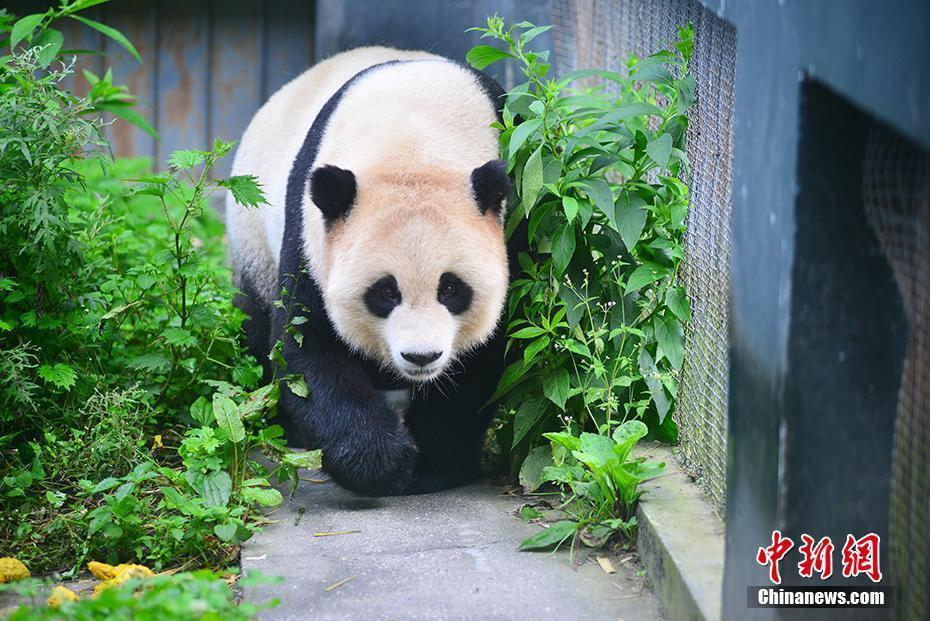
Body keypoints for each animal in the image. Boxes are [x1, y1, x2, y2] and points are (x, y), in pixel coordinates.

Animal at [222, 47, 520, 494]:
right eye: (385, 292)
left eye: (451, 289)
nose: (421, 356)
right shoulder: (312, 234)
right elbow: (307, 347)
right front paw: (380, 461)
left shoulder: (516, 220)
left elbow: (484, 356)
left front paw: (432, 466)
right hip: (253, 235)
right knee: (257, 325)